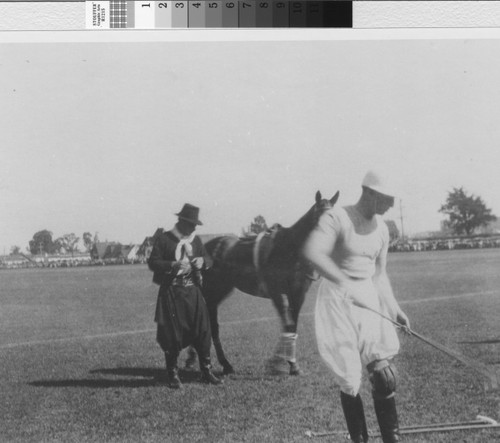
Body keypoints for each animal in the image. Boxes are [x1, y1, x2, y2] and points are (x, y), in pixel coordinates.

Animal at [191, 192, 340, 378]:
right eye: (318, 218)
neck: (287, 249)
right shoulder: (277, 294)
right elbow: (287, 325)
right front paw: (277, 363)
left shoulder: (298, 295)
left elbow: (292, 327)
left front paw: (292, 365)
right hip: (211, 291)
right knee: (211, 325)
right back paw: (220, 362)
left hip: (221, 291)